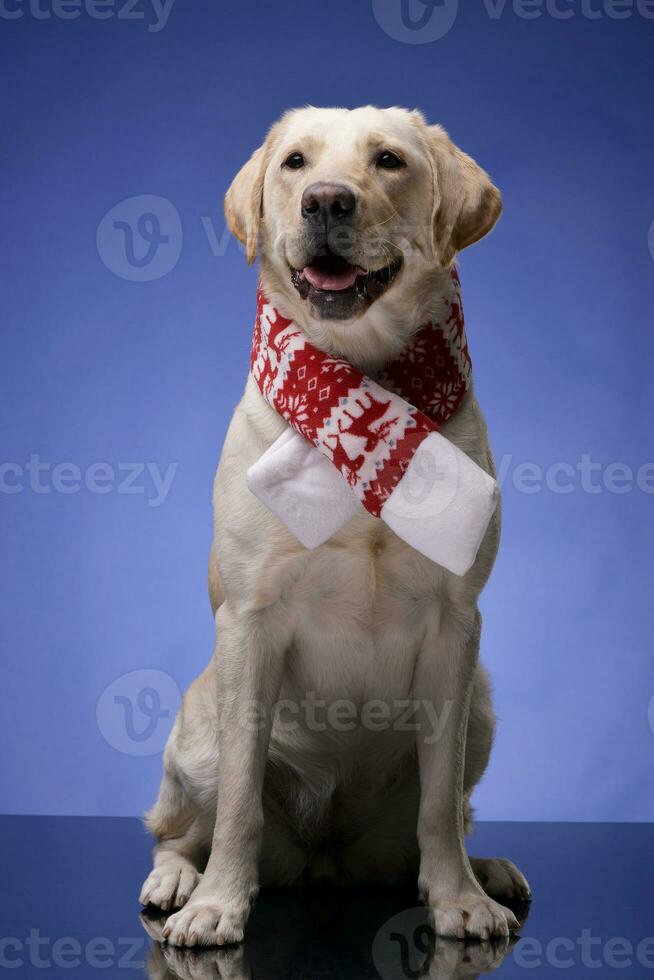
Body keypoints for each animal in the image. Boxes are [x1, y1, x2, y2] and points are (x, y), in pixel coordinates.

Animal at [142, 105, 532, 948]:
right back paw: (179, 879)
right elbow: (240, 804)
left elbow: (438, 802)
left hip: (482, 703)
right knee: (183, 825)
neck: (363, 372)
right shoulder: (249, 620)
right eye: (295, 162)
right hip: (199, 720)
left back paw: (486, 869)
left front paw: (456, 897)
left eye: (388, 160)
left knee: (450, 810)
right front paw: (219, 903)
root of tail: (324, 857)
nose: (326, 200)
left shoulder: (456, 626)